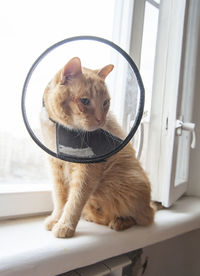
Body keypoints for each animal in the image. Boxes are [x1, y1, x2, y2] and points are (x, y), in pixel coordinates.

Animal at [40, 57, 153, 238]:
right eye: (85, 101)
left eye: (105, 102)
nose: (101, 120)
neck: (62, 130)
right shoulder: (56, 168)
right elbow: (60, 199)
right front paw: (56, 219)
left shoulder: (87, 172)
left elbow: (74, 202)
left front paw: (65, 226)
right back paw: (93, 217)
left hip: (128, 183)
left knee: (140, 217)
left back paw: (119, 222)